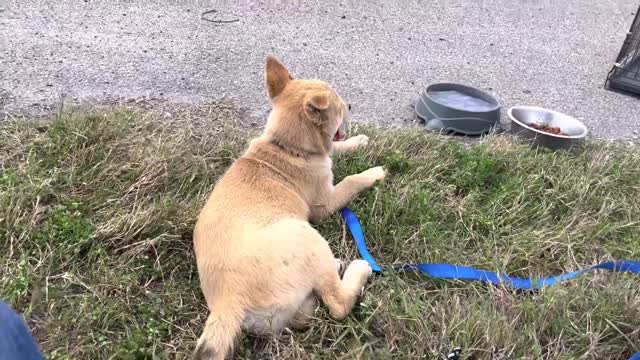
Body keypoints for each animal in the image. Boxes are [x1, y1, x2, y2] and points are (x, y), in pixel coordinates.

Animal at [194, 56, 384, 360]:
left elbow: (335, 148)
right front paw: (374, 173)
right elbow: (350, 181)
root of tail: (228, 303)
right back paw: (358, 268)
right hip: (305, 235)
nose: (351, 106)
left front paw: (358, 141)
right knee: (337, 304)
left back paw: (337, 264)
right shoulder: (324, 203)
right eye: (339, 105)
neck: (285, 146)